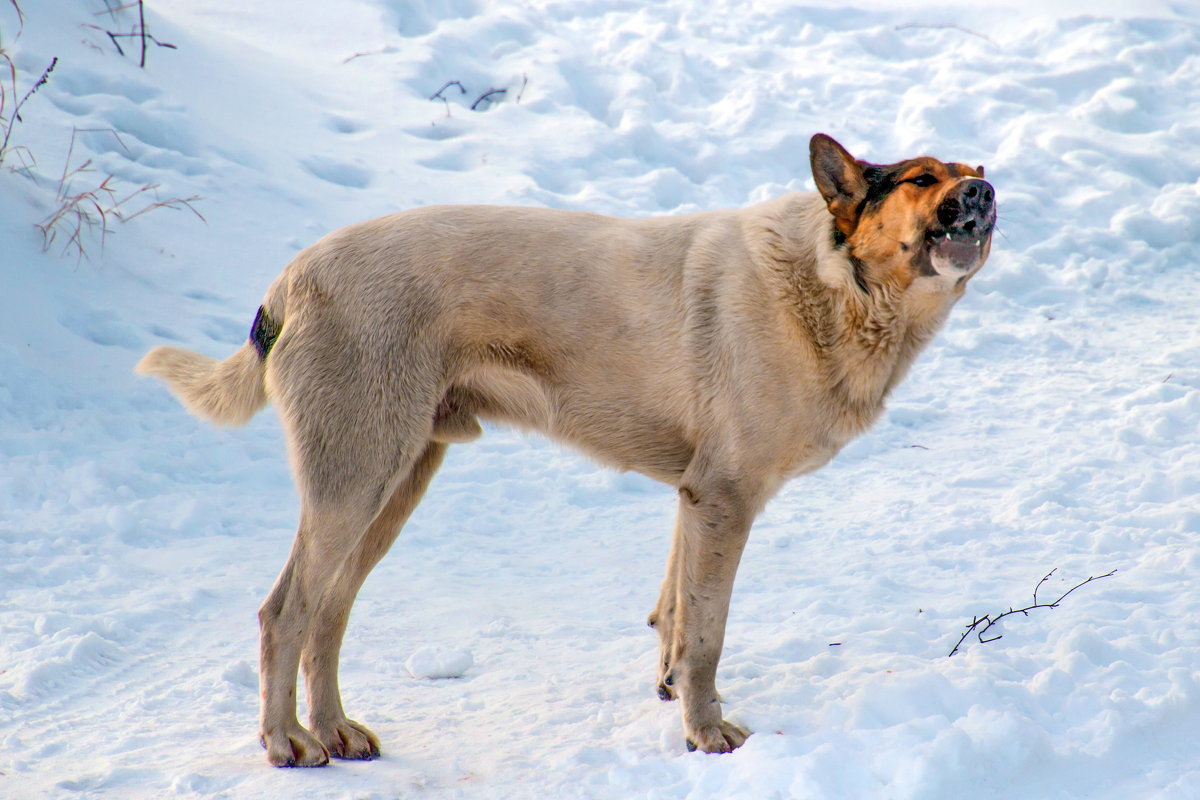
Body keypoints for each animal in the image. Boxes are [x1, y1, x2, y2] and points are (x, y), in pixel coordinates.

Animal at [136, 134, 993, 767]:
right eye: (922, 179)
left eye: (974, 173)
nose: (986, 194)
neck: (834, 284)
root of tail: (291, 277)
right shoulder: (725, 500)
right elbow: (707, 635)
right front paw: (706, 734)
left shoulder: (694, 499)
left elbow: (674, 616)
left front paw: (673, 692)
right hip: (354, 483)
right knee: (285, 611)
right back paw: (286, 740)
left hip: (396, 482)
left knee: (328, 611)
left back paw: (337, 730)